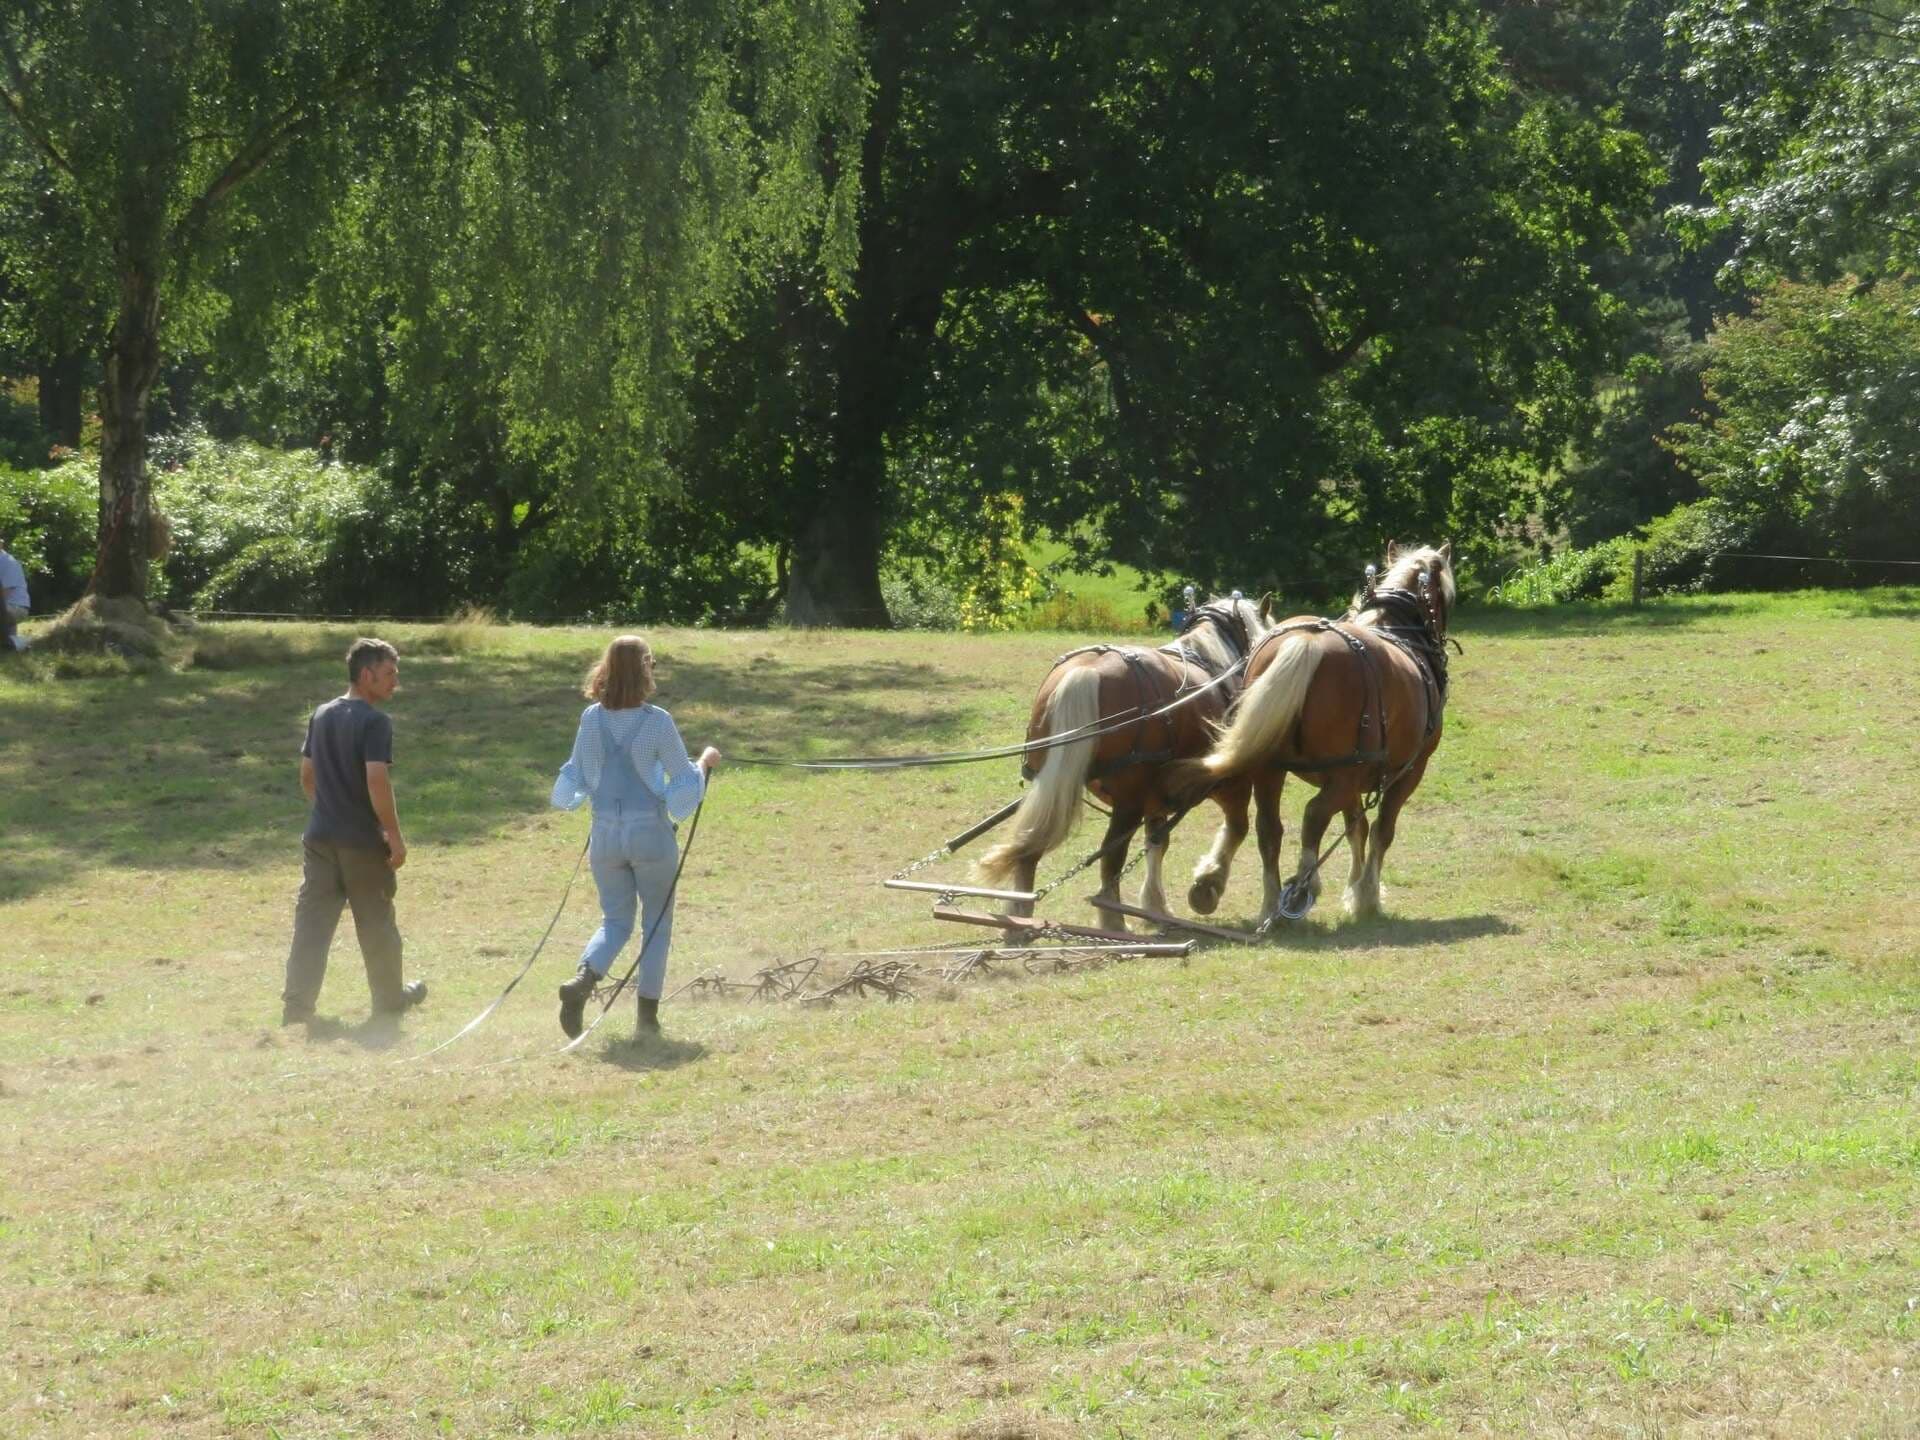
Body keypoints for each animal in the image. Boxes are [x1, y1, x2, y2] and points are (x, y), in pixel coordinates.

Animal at [975, 594, 1276, 923]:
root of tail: (1086, 671)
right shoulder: (1229, 782)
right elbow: (1237, 828)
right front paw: (1207, 886)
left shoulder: (1155, 798)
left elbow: (1157, 842)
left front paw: (1156, 904)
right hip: (1128, 804)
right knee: (1110, 857)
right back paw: (1113, 920)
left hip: (1051, 786)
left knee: (1029, 849)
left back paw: (1020, 918)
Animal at [1167, 543, 1455, 926]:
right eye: (1445, 597)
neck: (1396, 628)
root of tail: (1306, 641)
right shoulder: (1407, 771)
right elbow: (1380, 831)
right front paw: (1366, 896)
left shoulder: (1357, 779)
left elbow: (1356, 828)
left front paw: (1354, 890)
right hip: (1345, 771)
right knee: (1314, 815)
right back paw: (1302, 887)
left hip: (1272, 769)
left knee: (1269, 829)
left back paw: (1268, 903)